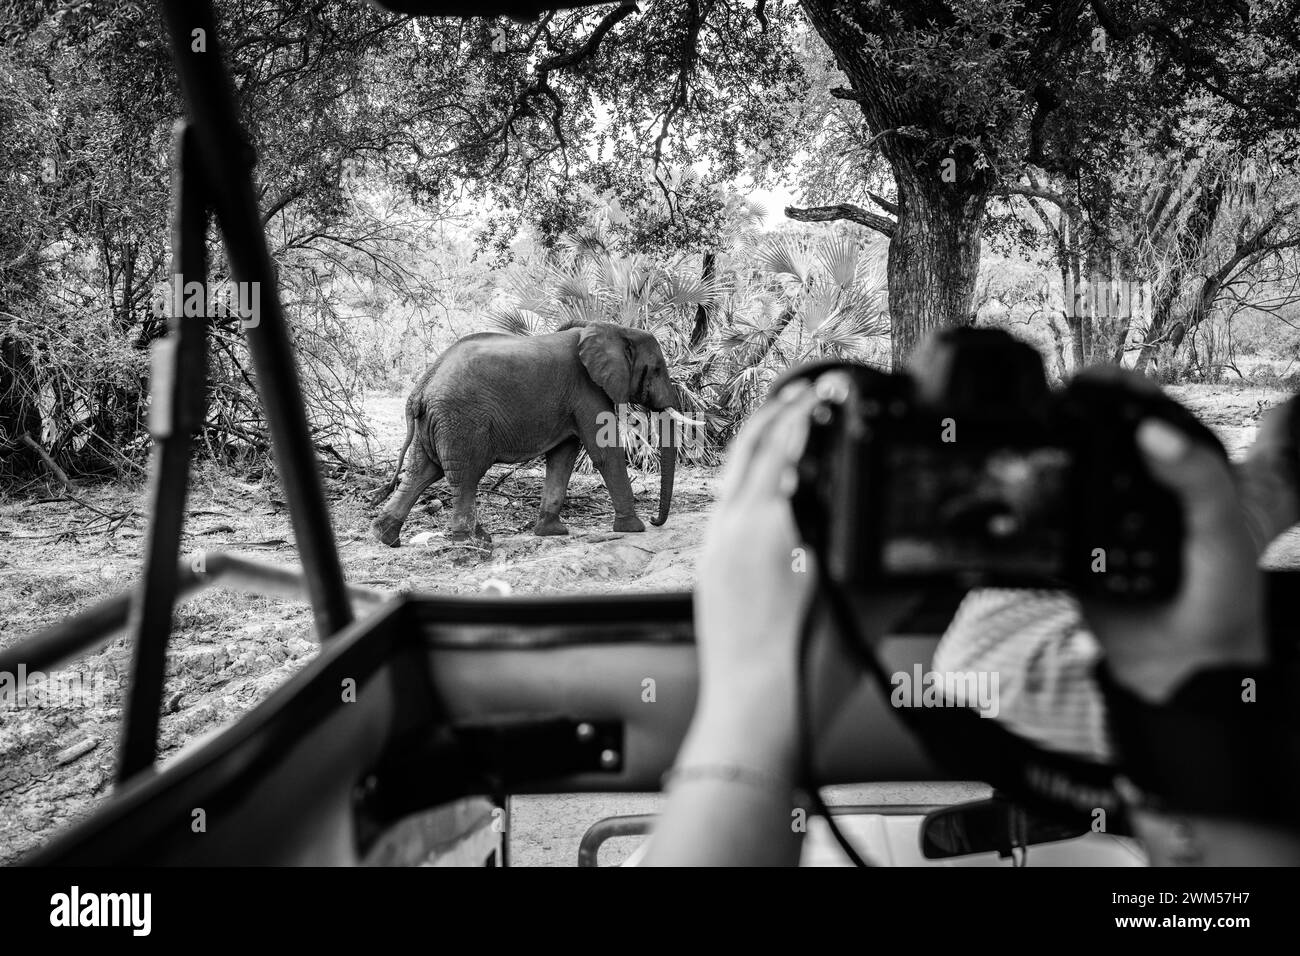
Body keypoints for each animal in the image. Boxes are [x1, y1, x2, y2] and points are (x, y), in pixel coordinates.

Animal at [369, 321, 691, 546]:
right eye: (657, 369)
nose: (655, 519)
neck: (613, 329)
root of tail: (421, 387)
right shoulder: (587, 390)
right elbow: (604, 453)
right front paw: (634, 528)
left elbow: (563, 458)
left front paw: (551, 532)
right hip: (461, 421)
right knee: (465, 475)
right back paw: (471, 541)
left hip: (435, 422)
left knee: (422, 471)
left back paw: (386, 537)